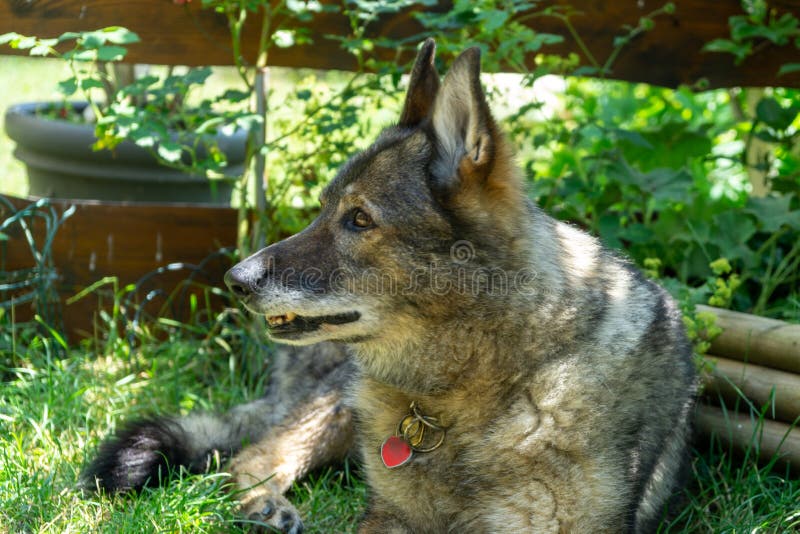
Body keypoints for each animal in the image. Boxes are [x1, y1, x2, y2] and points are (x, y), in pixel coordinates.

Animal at [79, 38, 692, 534]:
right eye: (323, 208)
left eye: (359, 219)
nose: (236, 279)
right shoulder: (389, 516)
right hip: (338, 405)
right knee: (250, 455)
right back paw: (265, 507)